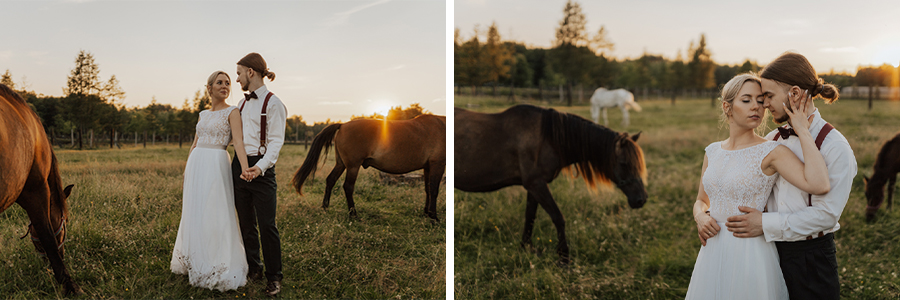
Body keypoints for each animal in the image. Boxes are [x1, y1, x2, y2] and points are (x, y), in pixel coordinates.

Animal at [292, 113, 446, 221]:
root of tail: (343, 125)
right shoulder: (437, 165)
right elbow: (434, 190)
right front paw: (433, 217)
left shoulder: (428, 167)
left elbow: (427, 189)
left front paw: (427, 213)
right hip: (353, 166)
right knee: (348, 187)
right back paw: (353, 214)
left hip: (341, 164)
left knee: (330, 180)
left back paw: (325, 207)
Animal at [458, 105, 648, 264]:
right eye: (624, 164)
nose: (641, 199)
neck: (547, 139)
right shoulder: (537, 184)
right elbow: (558, 218)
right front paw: (564, 258)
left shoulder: (533, 187)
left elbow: (530, 216)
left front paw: (526, 248)